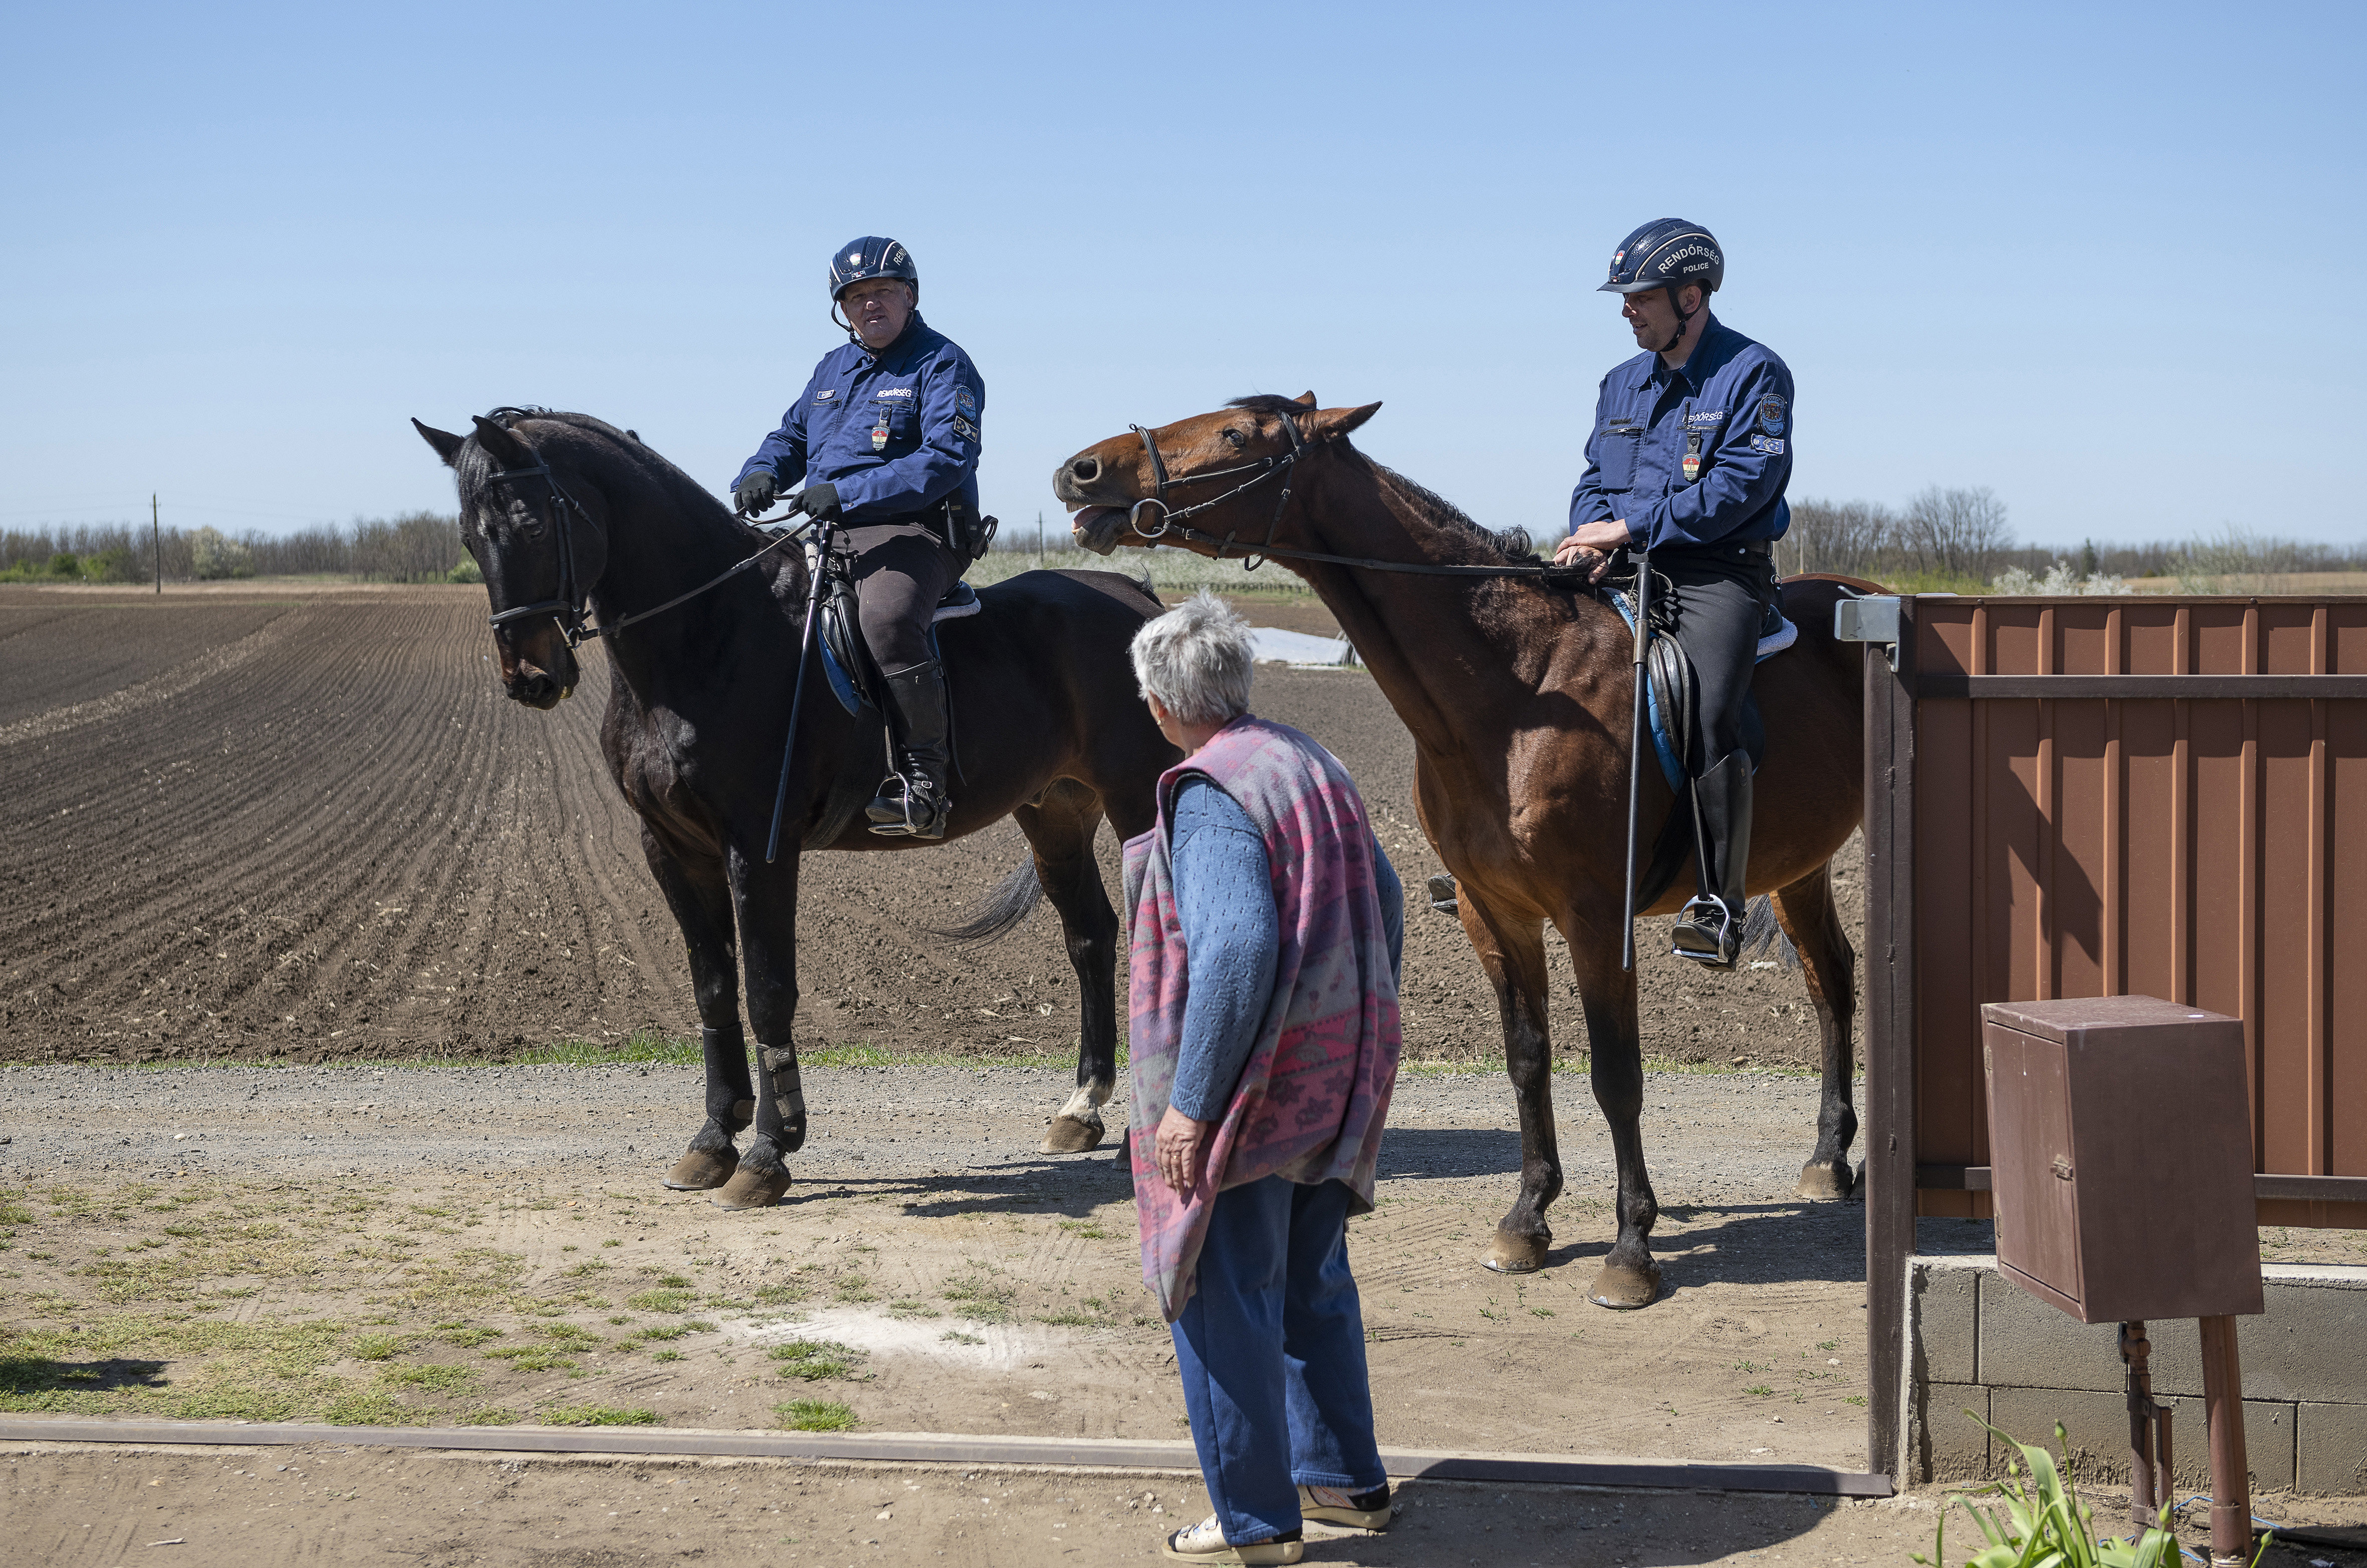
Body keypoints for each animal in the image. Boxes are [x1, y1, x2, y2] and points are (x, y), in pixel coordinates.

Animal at [724, 237, 975, 842]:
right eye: (859, 297)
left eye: (881, 289)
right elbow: (791, 429)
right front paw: (757, 484)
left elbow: (942, 447)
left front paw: (825, 497)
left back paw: (918, 797)